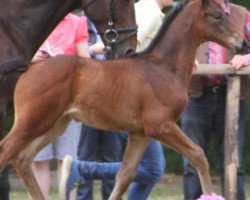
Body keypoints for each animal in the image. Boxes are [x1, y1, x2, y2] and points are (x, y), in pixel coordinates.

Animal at [0, 0, 246, 200]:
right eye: (217, 15)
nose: (243, 43)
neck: (163, 67)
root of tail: (31, 67)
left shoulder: (141, 134)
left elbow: (125, 176)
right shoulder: (161, 126)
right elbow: (199, 155)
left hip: (56, 124)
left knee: (22, 158)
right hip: (33, 122)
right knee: (7, 151)